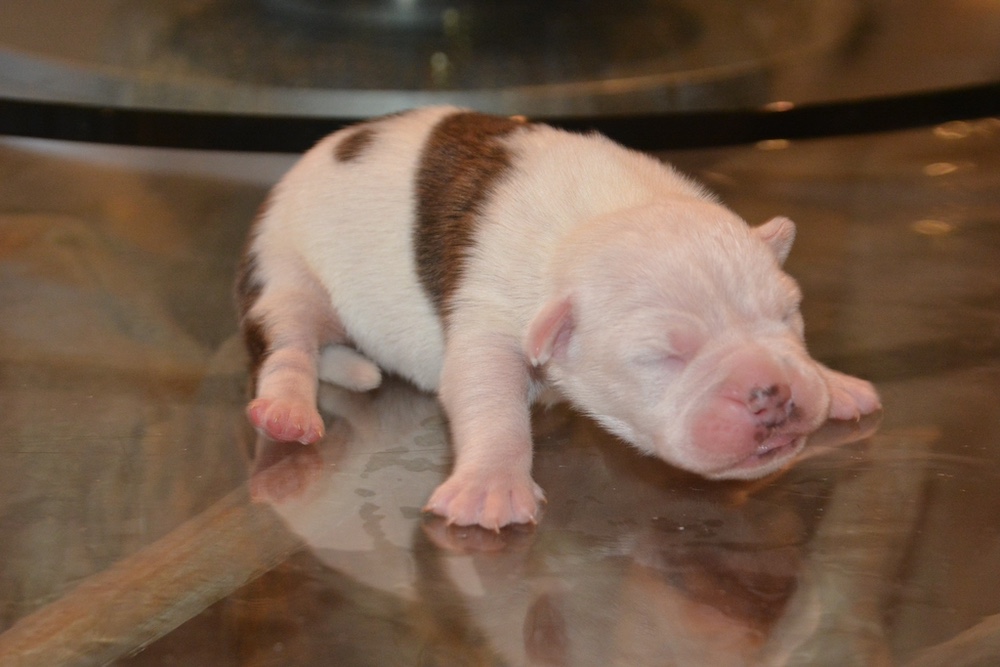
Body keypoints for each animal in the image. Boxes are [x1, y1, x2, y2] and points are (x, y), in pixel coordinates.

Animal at [236, 106, 881, 530]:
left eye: (788, 315)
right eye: (664, 356)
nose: (772, 393)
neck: (604, 216)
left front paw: (834, 381)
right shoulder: (489, 323)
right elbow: (490, 401)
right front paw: (490, 487)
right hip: (284, 268)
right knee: (286, 343)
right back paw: (287, 409)